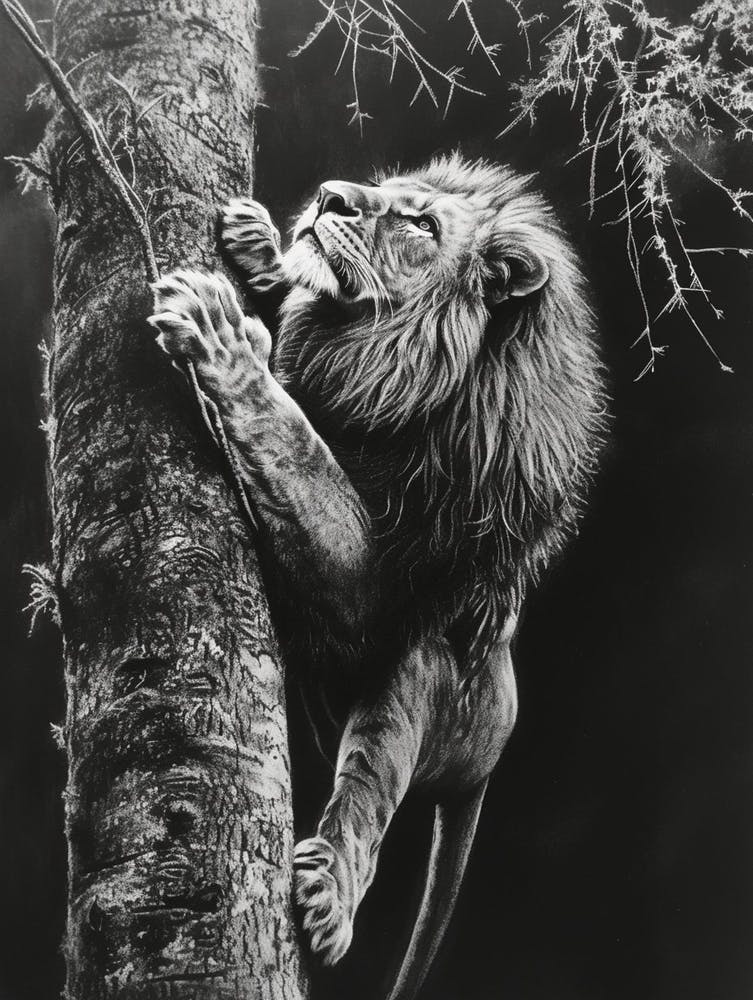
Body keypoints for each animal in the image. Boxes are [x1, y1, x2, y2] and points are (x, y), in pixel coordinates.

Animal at [148, 153, 606, 1000]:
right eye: (379, 190)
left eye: (420, 224)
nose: (330, 197)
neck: (381, 362)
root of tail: (493, 744)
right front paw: (261, 247)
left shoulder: (377, 590)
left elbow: (297, 448)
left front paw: (226, 341)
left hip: (421, 674)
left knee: (367, 794)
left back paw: (330, 894)